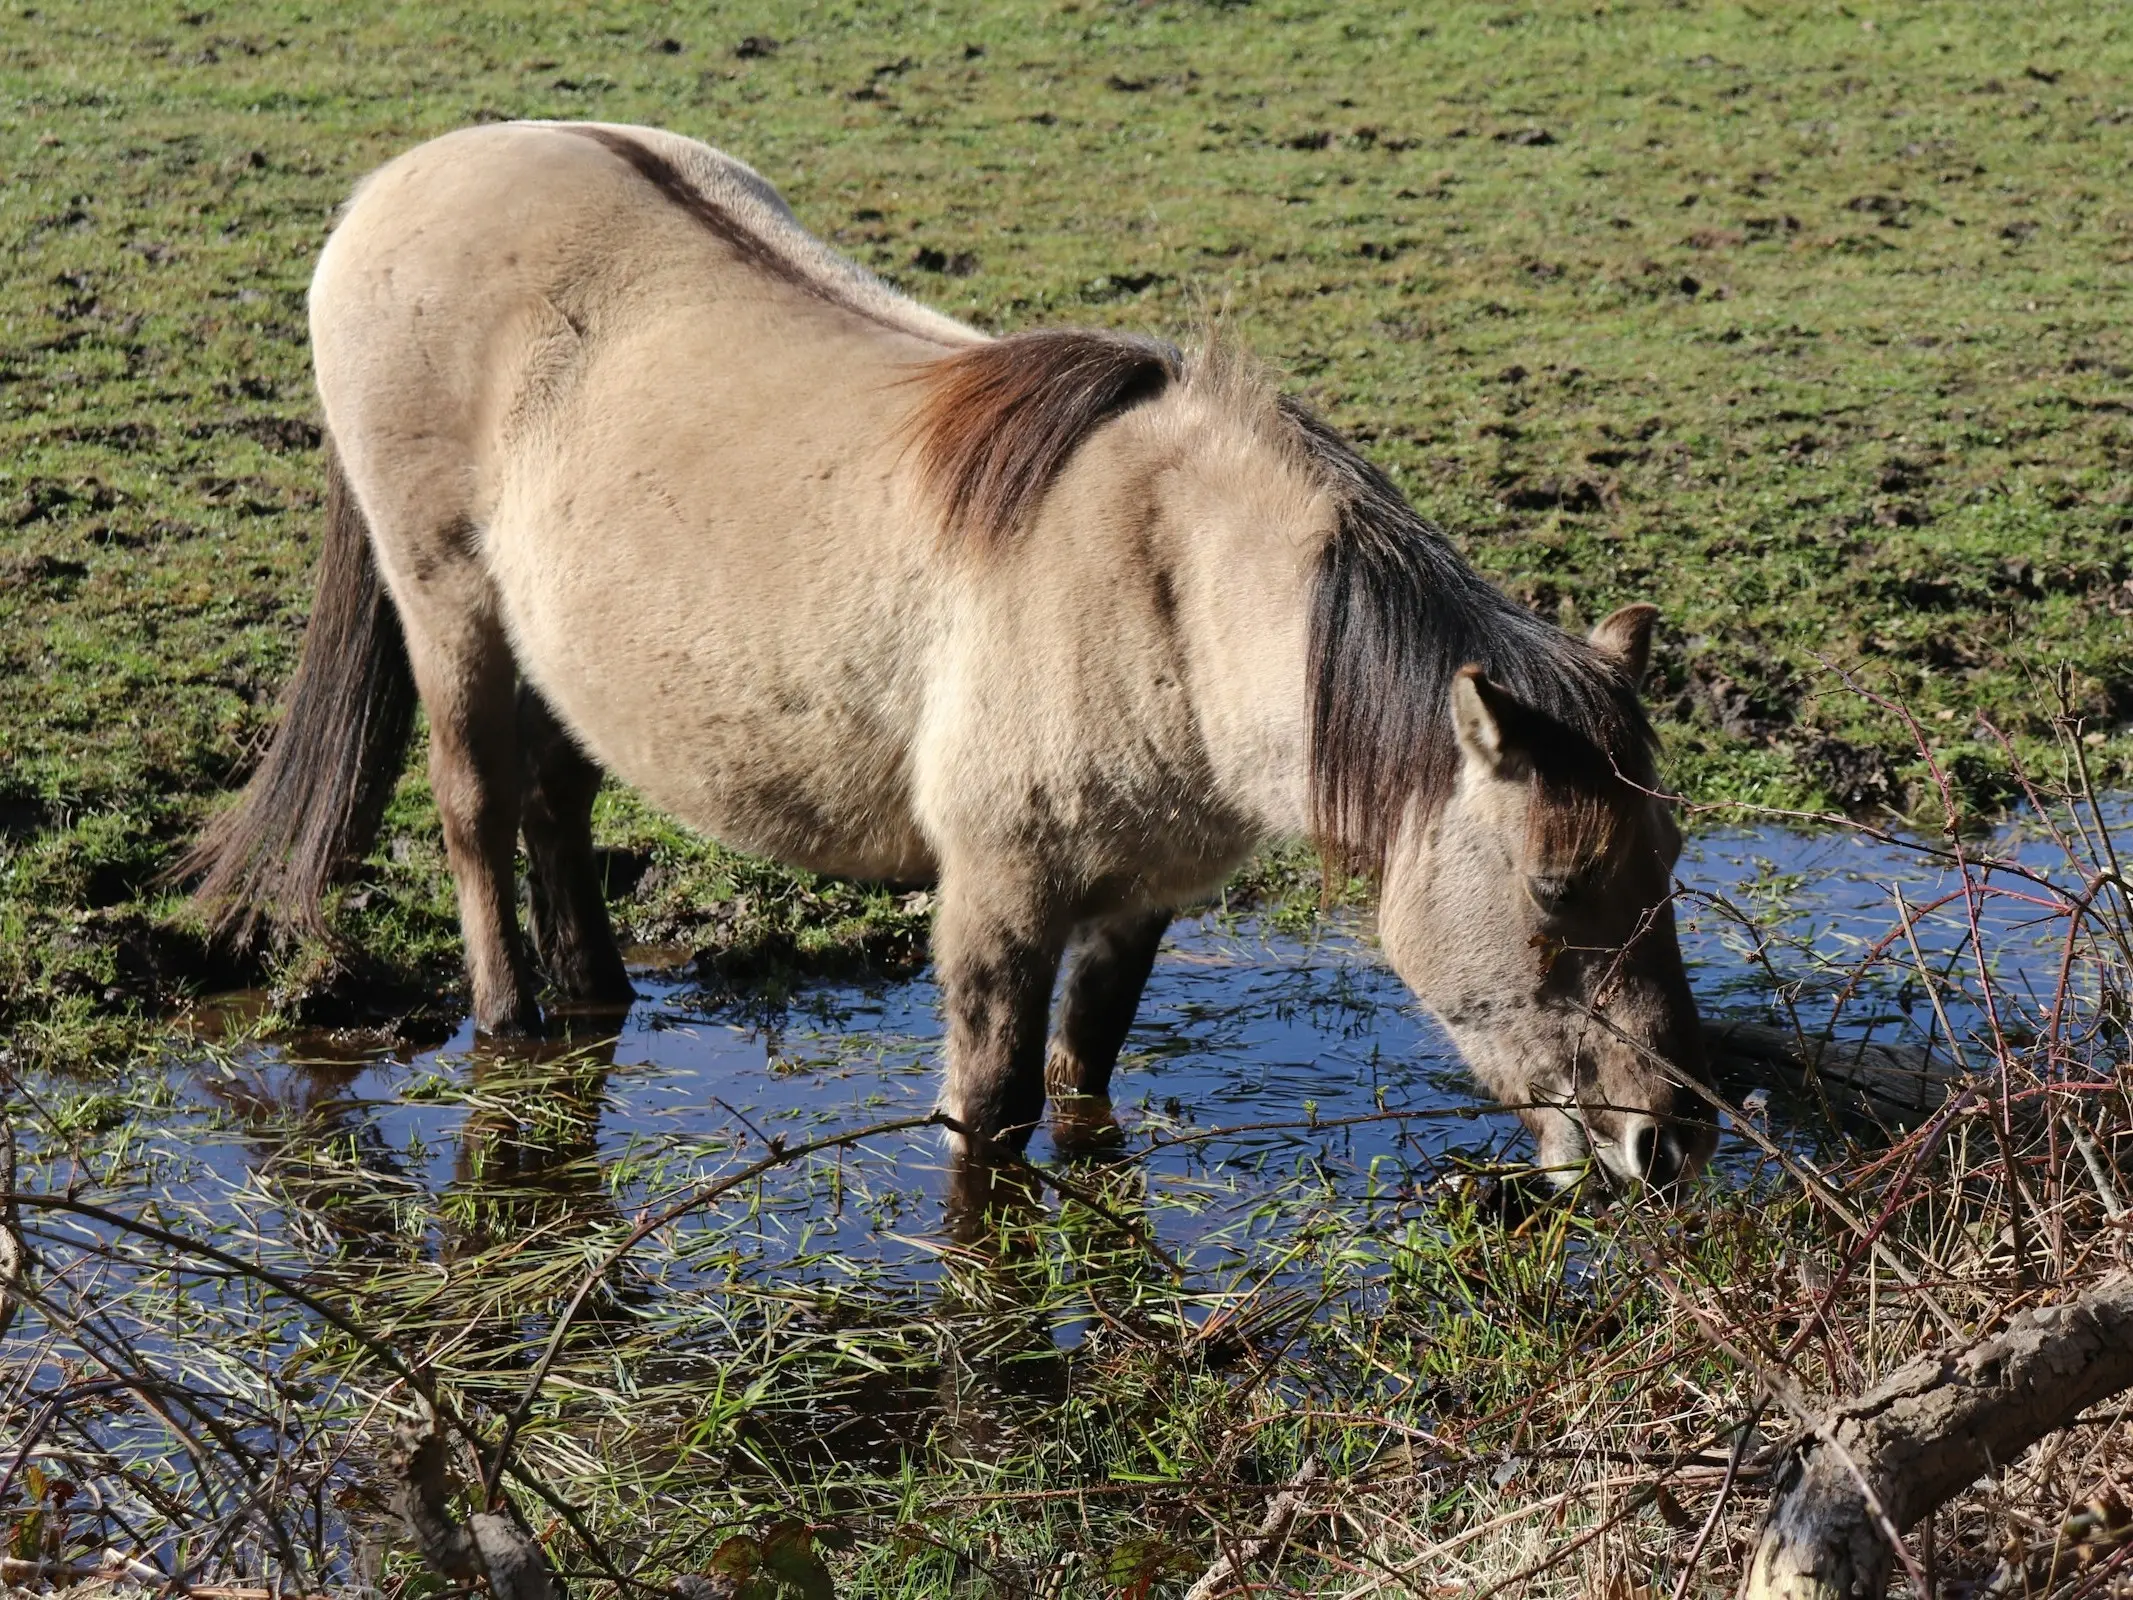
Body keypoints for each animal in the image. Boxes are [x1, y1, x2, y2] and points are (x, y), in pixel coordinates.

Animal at [179, 122, 1714, 1194]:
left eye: (1671, 857)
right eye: (1554, 883)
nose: (1672, 1142)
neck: (1167, 592)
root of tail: (393, 190)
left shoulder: (1137, 902)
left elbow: (1085, 1080)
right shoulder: (997, 899)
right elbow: (993, 1118)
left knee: (559, 806)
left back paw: (605, 997)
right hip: (451, 613)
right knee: (478, 813)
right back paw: (514, 1021)